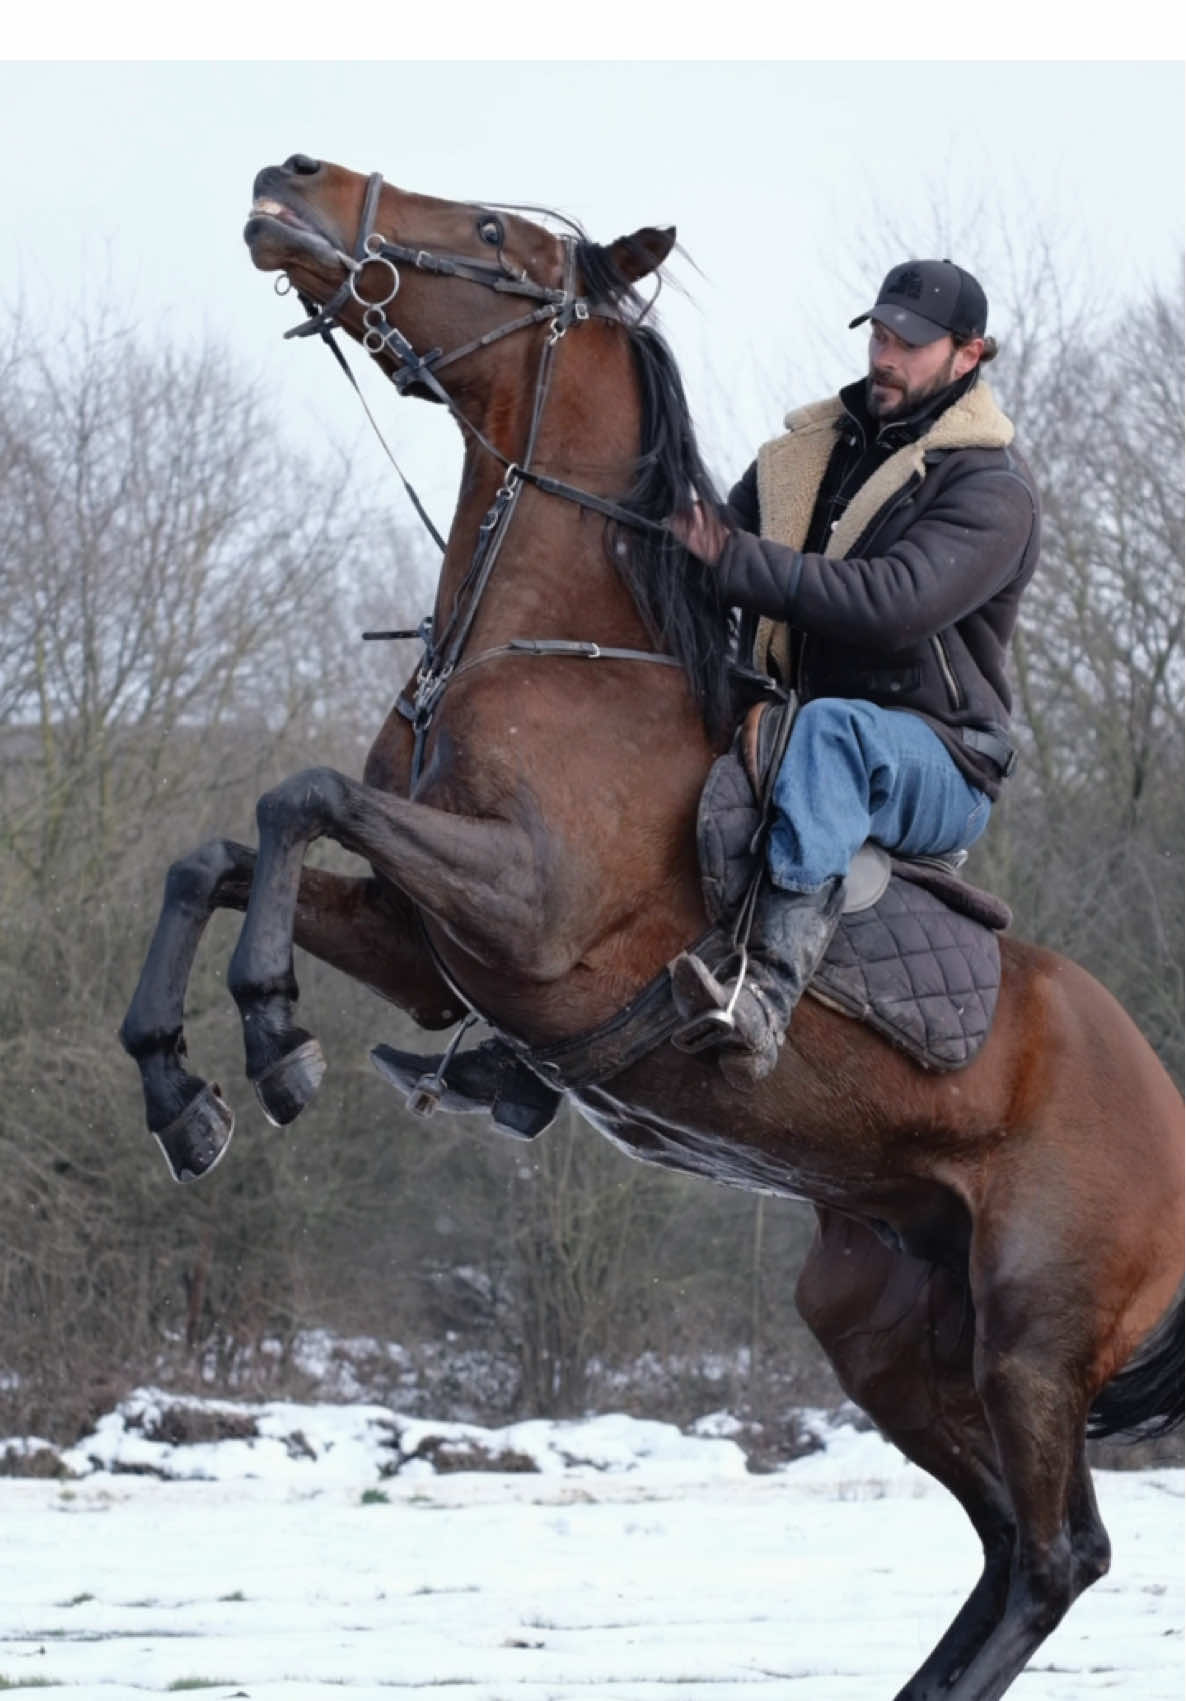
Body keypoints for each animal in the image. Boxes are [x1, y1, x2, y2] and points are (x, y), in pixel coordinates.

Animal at [122, 153, 1184, 1694]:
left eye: (491, 232)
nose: (289, 177)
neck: (561, 644)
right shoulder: (430, 955)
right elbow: (213, 853)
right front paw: (179, 1087)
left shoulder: (521, 911)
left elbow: (293, 796)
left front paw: (269, 1038)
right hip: (884, 1330)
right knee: (1010, 1552)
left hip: (1032, 1341)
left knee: (1057, 1554)